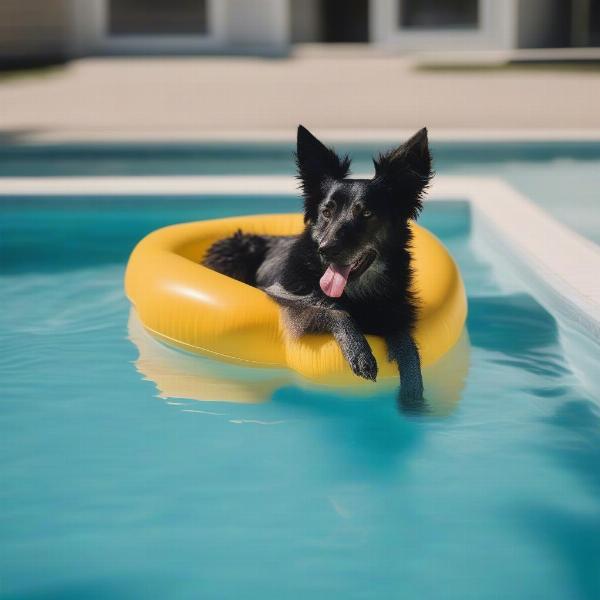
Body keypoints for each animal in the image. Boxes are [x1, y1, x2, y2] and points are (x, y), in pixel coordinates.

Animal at [204, 125, 434, 404]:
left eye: (366, 213)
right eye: (327, 212)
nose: (325, 250)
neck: (356, 292)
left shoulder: (396, 313)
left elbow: (407, 345)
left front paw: (413, 391)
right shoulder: (283, 295)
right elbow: (332, 310)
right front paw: (360, 353)